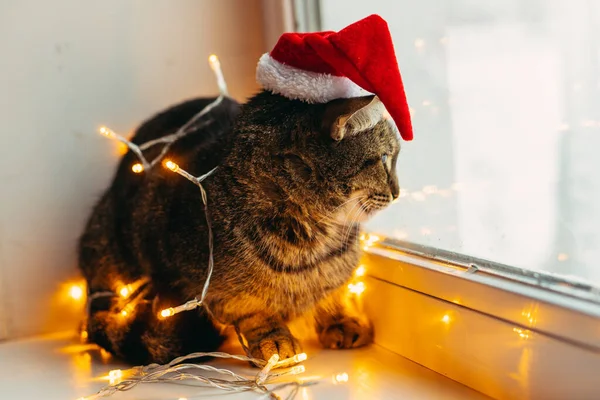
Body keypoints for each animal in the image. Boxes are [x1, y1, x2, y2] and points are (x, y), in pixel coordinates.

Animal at [78, 90, 398, 366]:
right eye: (385, 159)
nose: (397, 192)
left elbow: (332, 292)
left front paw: (339, 318)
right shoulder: (212, 287)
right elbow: (250, 309)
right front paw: (274, 338)